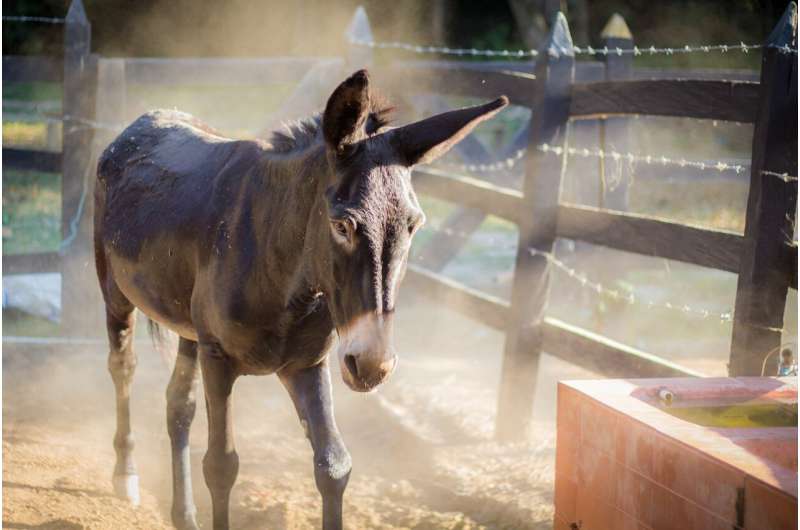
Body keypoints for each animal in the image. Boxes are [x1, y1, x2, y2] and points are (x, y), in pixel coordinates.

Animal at [94, 69, 507, 529]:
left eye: (414, 225)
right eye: (342, 225)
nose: (372, 366)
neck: (282, 278)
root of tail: (147, 118)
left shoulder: (305, 364)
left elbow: (334, 465)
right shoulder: (219, 359)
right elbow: (221, 465)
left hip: (188, 328)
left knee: (178, 404)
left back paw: (183, 515)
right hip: (115, 293)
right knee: (123, 368)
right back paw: (125, 476)